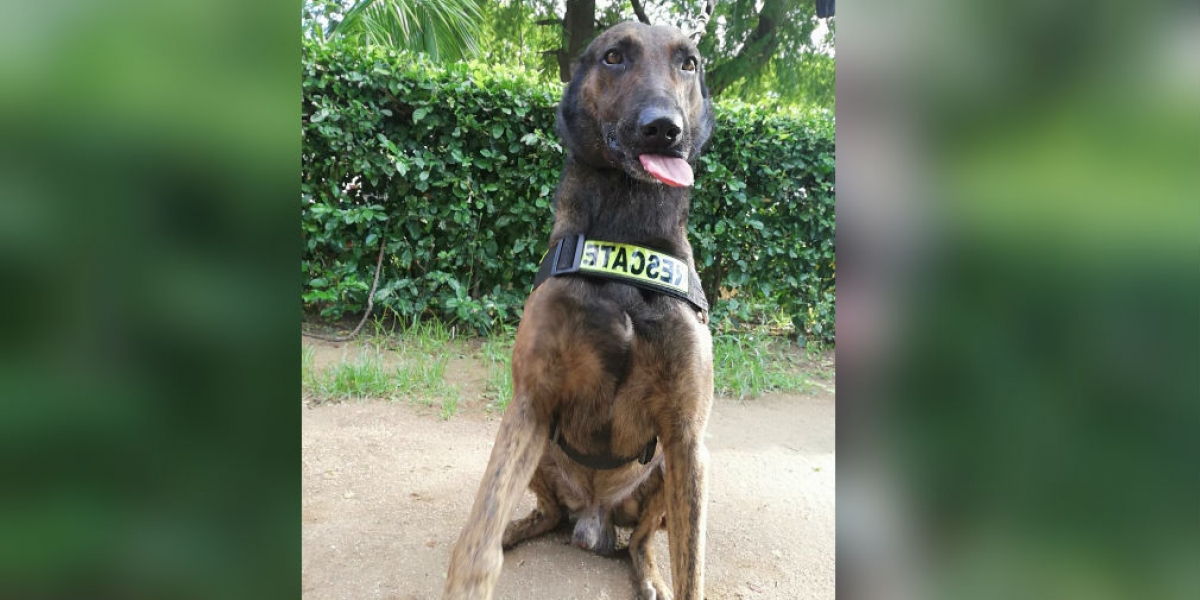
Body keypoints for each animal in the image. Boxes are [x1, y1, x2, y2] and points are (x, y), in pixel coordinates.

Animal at [446, 19, 715, 600]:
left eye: (689, 63)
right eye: (614, 56)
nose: (664, 129)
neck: (626, 232)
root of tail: (593, 518)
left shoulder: (687, 438)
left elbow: (692, 568)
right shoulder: (530, 402)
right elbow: (480, 528)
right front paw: (471, 574)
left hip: (673, 471)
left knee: (642, 538)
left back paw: (647, 570)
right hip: (537, 445)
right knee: (543, 513)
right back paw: (518, 529)